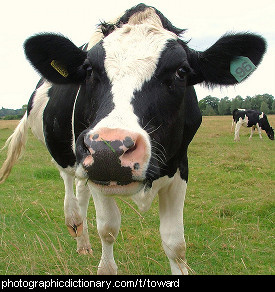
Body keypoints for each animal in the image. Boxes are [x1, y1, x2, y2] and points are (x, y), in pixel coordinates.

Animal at [0, 3, 268, 274]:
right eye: (88, 70)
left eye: (182, 71)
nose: (109, 149)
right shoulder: (95, 170)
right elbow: (108, 229)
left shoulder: (180, 166)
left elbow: (175, 243)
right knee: (70, 189)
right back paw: (75, 223)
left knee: (80, 190)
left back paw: (83, 243)